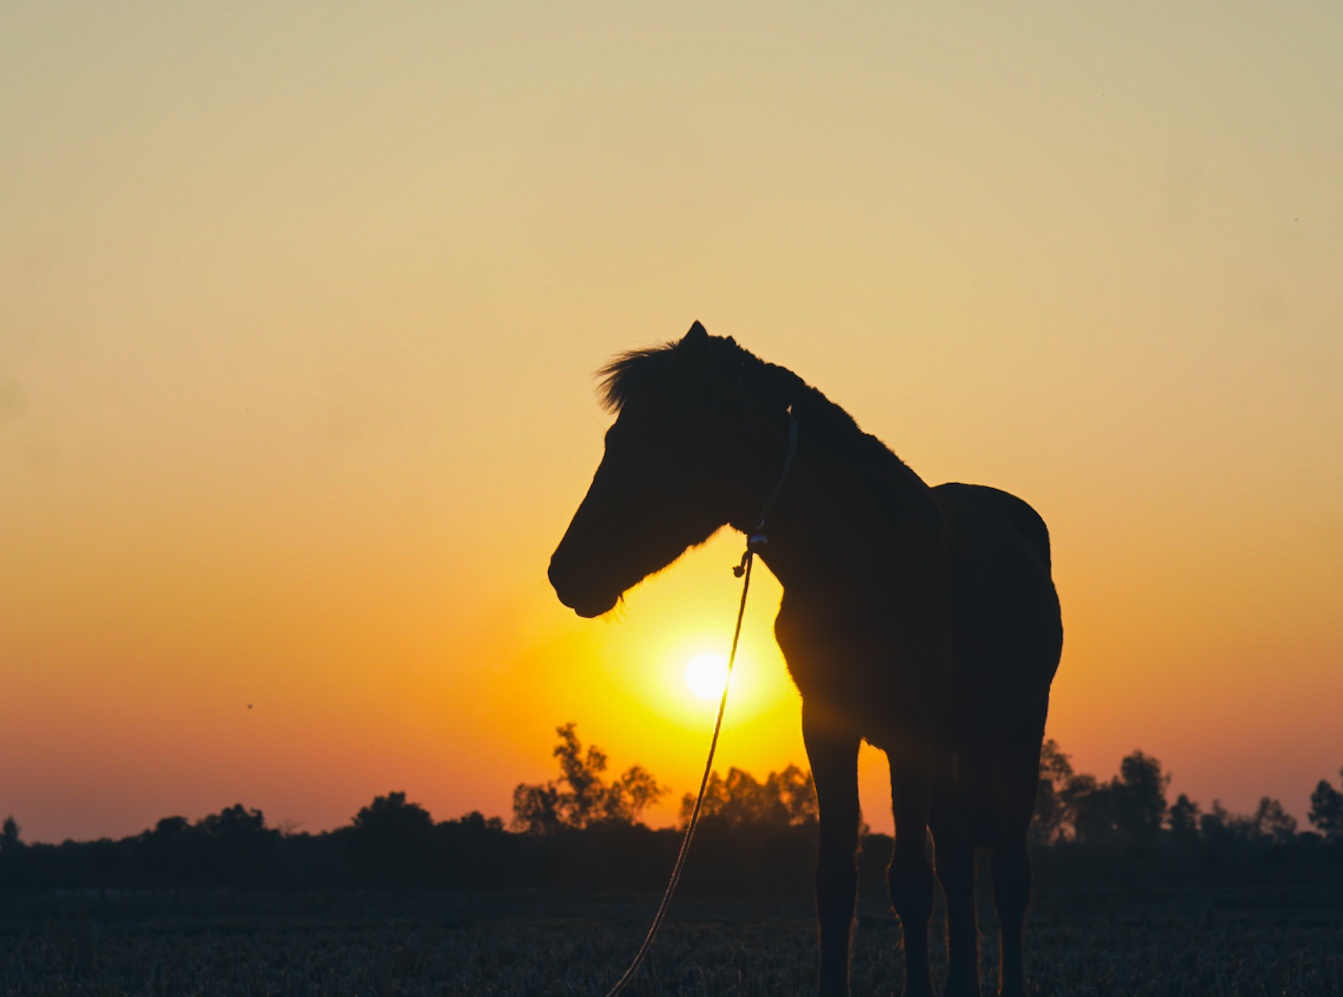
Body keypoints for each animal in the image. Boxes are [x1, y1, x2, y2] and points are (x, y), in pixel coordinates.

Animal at [545, 323, 1058, 994]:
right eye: (614, 439)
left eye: (656, 445)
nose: (565, 574)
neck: (859, 562)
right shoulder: (828, 726)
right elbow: (836, 883)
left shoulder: (910, 735)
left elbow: (910, 884)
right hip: (952, 748)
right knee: (958, 864)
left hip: (1017, 731)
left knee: (1008, 876)